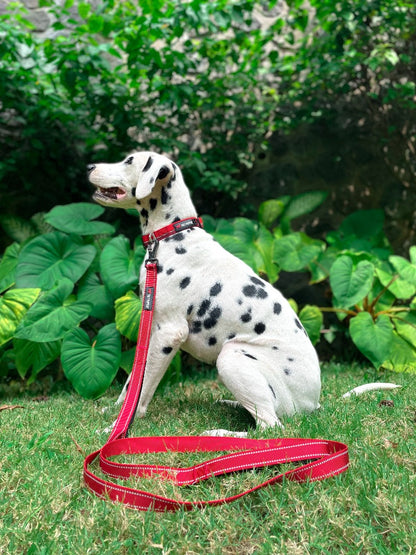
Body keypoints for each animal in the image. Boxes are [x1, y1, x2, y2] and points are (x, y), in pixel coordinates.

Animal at [88, 151, 322, 434]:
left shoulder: (168, 334)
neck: (172, 235)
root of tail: (313, 402)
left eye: (129, 161)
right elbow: (132, 381)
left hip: (231, 356)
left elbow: (143, 389)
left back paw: (219, 434)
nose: (90, 166)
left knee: (269, 426)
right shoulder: (151, 330)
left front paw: (118, 427)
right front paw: (117, 411)